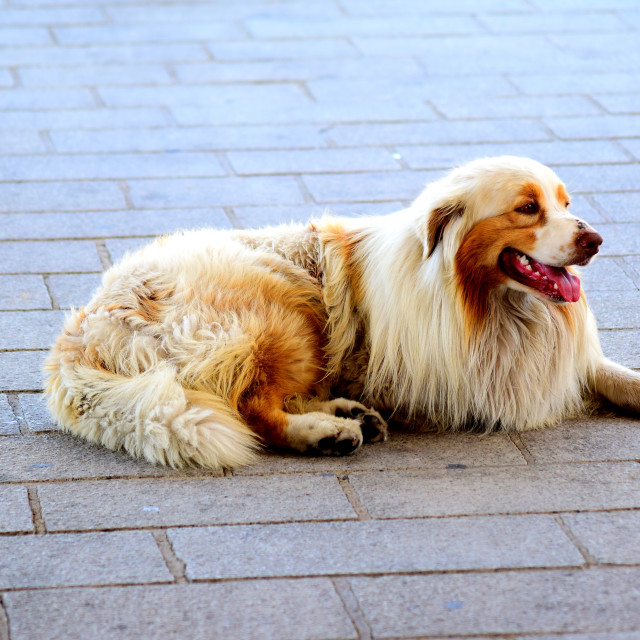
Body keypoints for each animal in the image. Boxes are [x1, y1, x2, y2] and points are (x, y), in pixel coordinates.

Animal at [45, 158, 640, 470]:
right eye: (527, 208)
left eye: (566, 204)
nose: (594, 239)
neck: (480, 300)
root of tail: (84, 325)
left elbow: (617, 375)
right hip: (284, 313)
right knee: (251, 407)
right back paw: (325, 433)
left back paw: (348, 415)